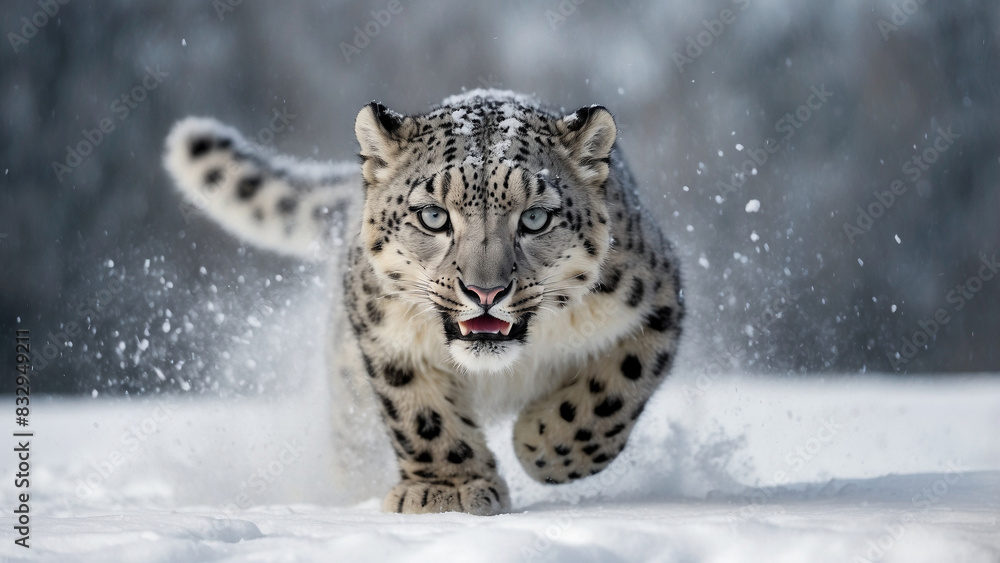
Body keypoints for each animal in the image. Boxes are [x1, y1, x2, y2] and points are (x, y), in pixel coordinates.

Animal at [163, 89, 684, 516]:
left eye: (535, 218)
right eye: (434, 217)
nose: (486, 292)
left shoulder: (655, 302)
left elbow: (612, 393)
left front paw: (543, 445)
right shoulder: (385, 332)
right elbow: (421, 414)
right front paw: (447, 491)